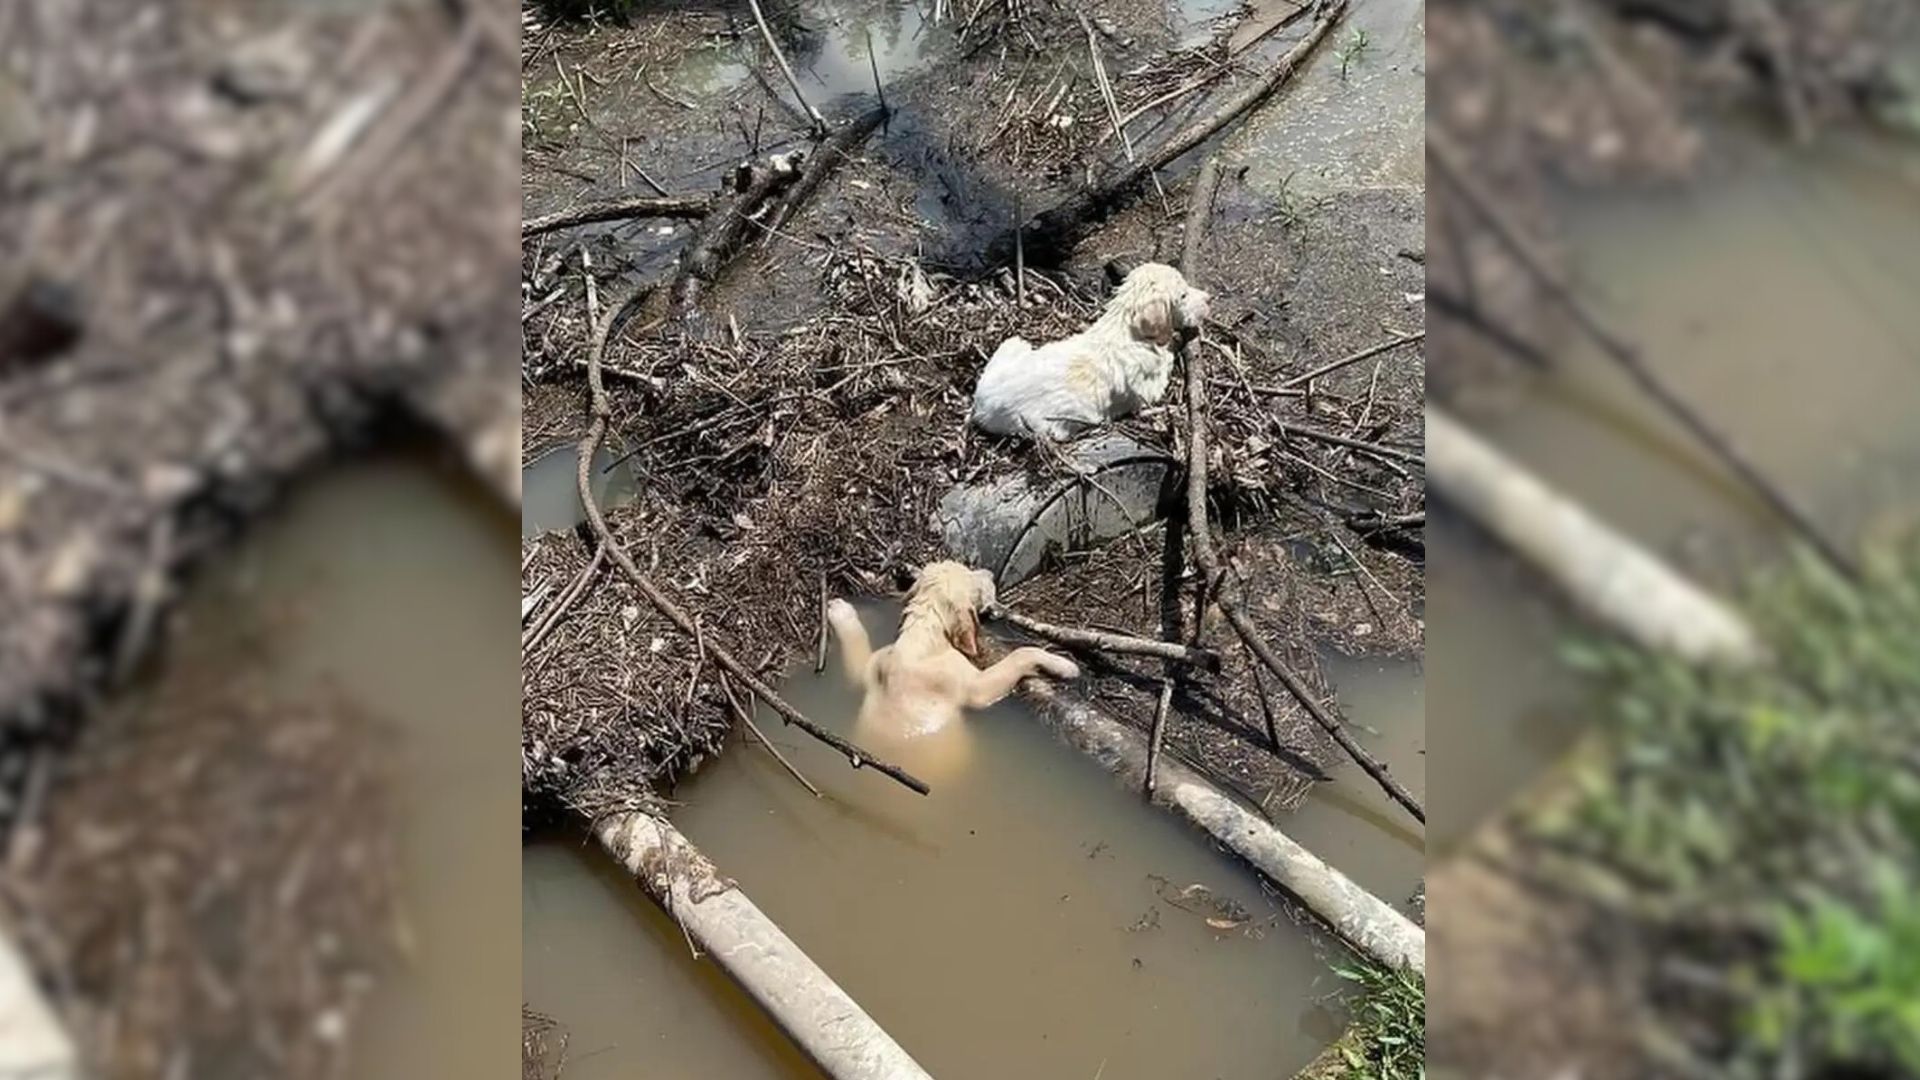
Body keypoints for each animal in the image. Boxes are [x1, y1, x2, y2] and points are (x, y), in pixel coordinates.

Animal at [829, 557, 1090, 734]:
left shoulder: (867, 670)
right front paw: (1065, 666)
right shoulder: (977, 689)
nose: (990, 573)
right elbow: (1022, 653)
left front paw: (840, 611)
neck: (921, 641)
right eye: (971, 576)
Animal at [967, 261, 1205, 441]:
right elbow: (1168, 356)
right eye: (1183, 295)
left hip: (1013, 344)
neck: (1124, 328)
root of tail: (980, 407)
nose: (1208, 298)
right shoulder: (1148, 391)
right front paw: (1176, 339)